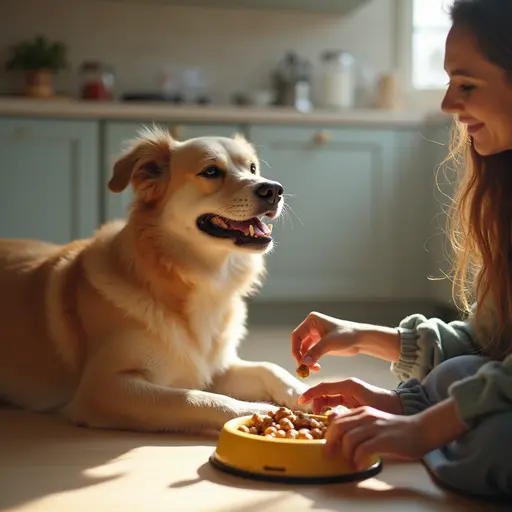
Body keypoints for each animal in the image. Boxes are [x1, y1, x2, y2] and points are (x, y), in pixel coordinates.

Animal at [0, 127, 310, 432]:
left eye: (253, 168)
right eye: (211, 171)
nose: (274, 190)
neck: (196, 279)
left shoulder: (215, 367)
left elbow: (269, 367)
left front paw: (306, 394)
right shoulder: (104, 387)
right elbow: (197, 398)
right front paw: (260, 411)